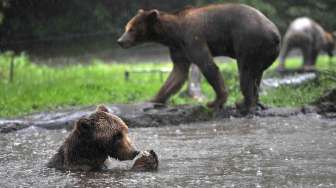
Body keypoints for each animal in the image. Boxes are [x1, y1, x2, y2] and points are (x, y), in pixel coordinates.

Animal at [118, 3, 280, 114]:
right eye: (126, 27)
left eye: (131, 29)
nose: (120, 41)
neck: (173, 34)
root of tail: (275, 33)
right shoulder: (179, 49)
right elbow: (178, 73)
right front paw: (153, 99)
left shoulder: (193, 38)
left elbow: (207, 65)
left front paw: (214, 102)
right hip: (263, 51)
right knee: (256, 75)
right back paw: (254, 102)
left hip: (247, 41)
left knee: (245, 72)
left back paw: (244, 103)